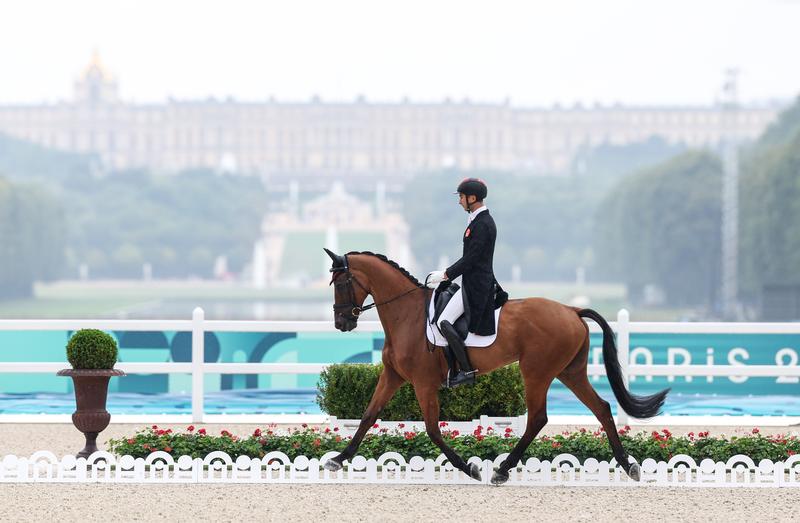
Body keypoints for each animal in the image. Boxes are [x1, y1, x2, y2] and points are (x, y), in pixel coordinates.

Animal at [318, 250, 668, 488]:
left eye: (342, 282)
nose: (341, 322)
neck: (406, 315)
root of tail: (571, 309)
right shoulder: (394, 376)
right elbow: (367, 416)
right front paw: (337, 460)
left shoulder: (422, 382)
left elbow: (432, 429)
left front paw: (470, 468)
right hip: (570, 372)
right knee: (602, 408)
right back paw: (628, 465)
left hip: (536, 372)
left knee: (538, 418)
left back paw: (502, 469)